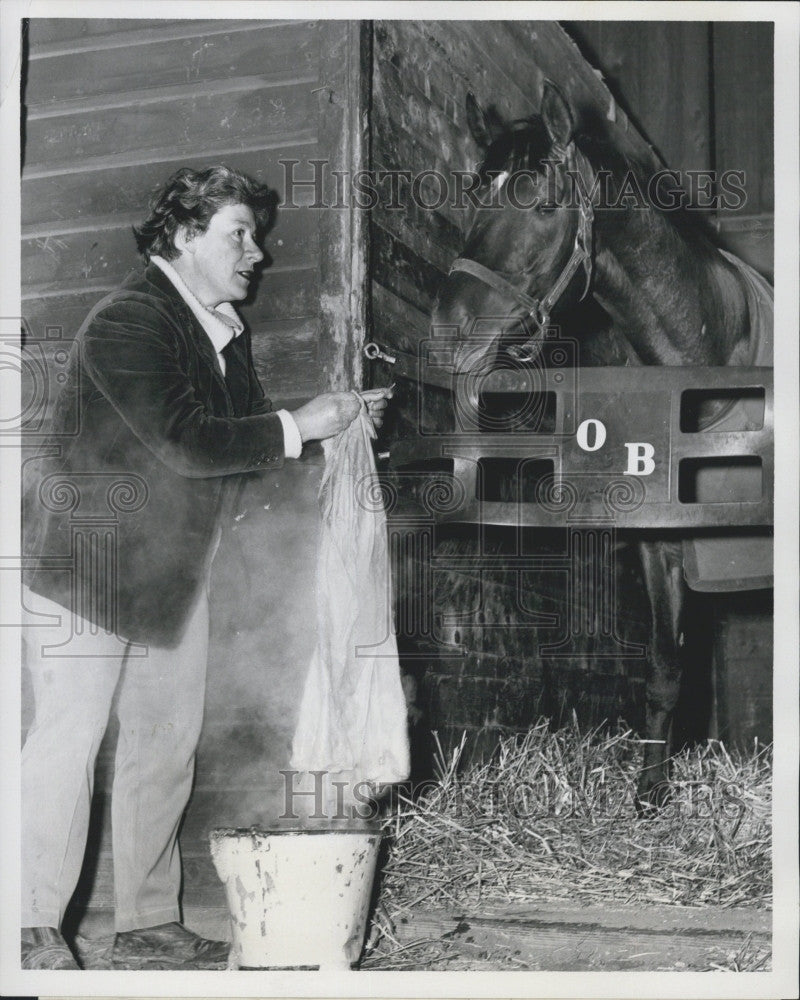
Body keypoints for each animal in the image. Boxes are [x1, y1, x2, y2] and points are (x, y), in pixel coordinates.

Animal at [432, 82, 776, 808]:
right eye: (474, 199)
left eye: (542, 204)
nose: (448, 334)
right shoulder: (663, 549)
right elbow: (666, 671)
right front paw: (650, 795)